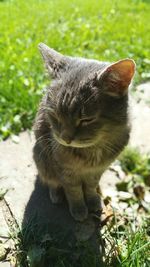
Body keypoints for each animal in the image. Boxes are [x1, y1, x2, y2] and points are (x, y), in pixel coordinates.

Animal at [33, 43, 136, 223]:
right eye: (54, 115)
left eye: (86, 119)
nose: (65, 138)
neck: (92, 152)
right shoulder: (65, 170)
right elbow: (74, 191)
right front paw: (79, 208)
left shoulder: (97, 171)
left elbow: (90, 186)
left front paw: (93, 199)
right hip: (42, 159)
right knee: (50, 180)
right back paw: (56, 194)